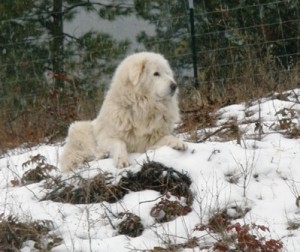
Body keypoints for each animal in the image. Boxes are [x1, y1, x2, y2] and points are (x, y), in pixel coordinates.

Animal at [59, 52, 188, 172]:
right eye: (156, 73)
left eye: (167, 73)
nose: (175, 86)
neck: (141, 107)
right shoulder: (106, 138)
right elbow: (119, 143)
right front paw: (121, 160)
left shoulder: (148, 141)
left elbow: (168, 137)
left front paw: (178, 143)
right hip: (79, 127)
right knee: (92, 151)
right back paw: (102, 153)